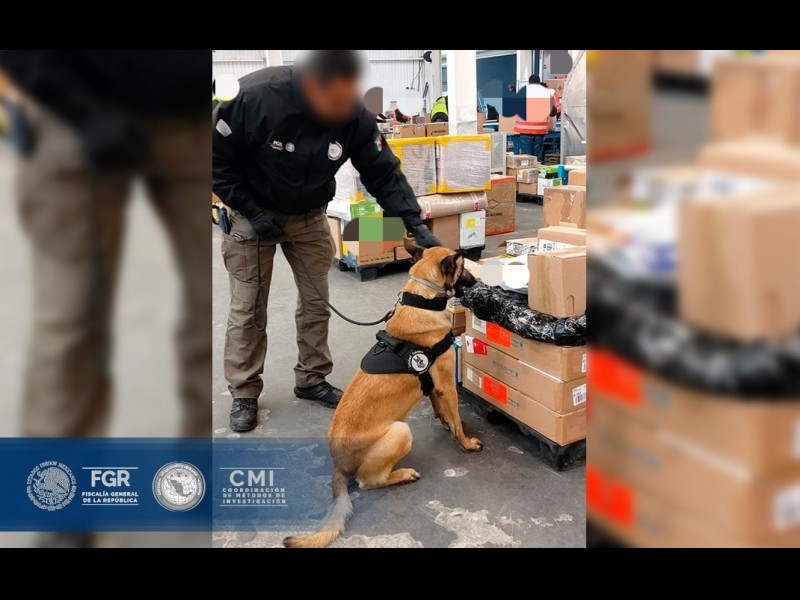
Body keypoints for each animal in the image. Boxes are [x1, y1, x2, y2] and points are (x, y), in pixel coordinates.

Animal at [283, 238, 480, 548]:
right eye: (462, 269)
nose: (477, 282)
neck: (423, 298)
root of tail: (339, 464)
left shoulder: (435, 385)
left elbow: (440, 408)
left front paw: (446, 422)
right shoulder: (447, 384)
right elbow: (457, 418)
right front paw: (465, 442)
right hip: (401, 431)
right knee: (369, 482)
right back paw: (402, 474)